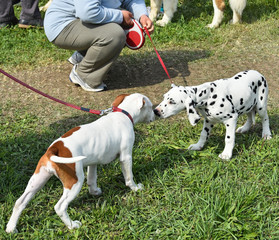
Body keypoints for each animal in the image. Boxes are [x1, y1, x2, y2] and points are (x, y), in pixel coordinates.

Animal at [6, 92, 155, 232]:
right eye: (151, 107)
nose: (156, 114)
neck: (123, 113)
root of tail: (54, 149)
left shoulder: (93, 162)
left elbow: (92, 179)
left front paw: (94, 192)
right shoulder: (126, 156)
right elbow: (129, 177)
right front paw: (135, 188)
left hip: (38, 179)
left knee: (20, 202)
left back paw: (11, 228)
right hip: (74, 181)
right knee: (60, 207)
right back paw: (72, 225)